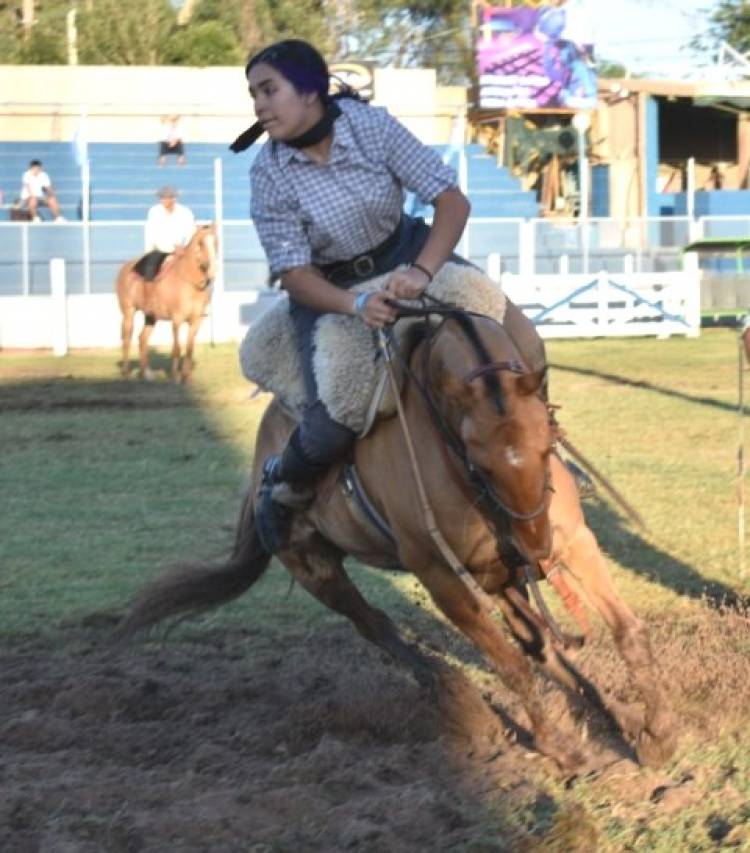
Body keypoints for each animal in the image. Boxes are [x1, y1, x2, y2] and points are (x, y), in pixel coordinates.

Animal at [116, 221, 219, 382]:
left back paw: (147, 374)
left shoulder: (196, 321)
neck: (189, 282)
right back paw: (127, 374)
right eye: (201, 243)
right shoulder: (176, 319)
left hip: (150, 317)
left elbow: (189, 349)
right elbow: (176, 348)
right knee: (127, 340)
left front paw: (186, 377)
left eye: (215, 242)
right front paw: (175, 377)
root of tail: (125, 268)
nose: (212, 270)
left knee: (142, 339)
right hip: (128, 312)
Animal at [120, 312, 680, 772]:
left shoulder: (571, 541)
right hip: (316, 568)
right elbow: (510, 666)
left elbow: (625, 631)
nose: (535, 550)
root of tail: (264, 462)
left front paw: (654, 732)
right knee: (377, 625)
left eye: (548, 446)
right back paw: (455, 694)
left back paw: (613, 713)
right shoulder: (441, 578)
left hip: (499, 578)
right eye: (478, 461)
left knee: (538, 644)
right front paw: (559, 746)